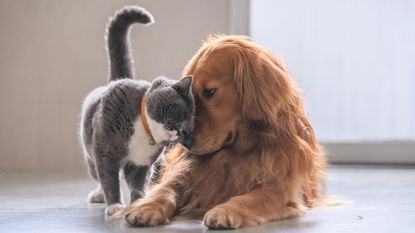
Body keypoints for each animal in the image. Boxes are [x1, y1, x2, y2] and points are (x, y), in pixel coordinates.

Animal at [80, 6, 196, 216]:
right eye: (181, 114)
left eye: (187, 130)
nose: (179, 132)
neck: (144, 131)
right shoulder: (106, 152)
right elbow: (109, 179)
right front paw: (115, 205)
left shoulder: (140, 162)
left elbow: (137, 182)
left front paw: (140, 201)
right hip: (90, 154)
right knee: (98, 175)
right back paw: (98, 195)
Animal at [120, 35, 328, 229]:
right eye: (190, 97)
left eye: (210, 91)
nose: (184, 142)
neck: (237, 152)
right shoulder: (187, 171)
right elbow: (167, 188)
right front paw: (146, 207)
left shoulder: (281, 187)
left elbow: (251, 198)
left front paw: (225, 211)